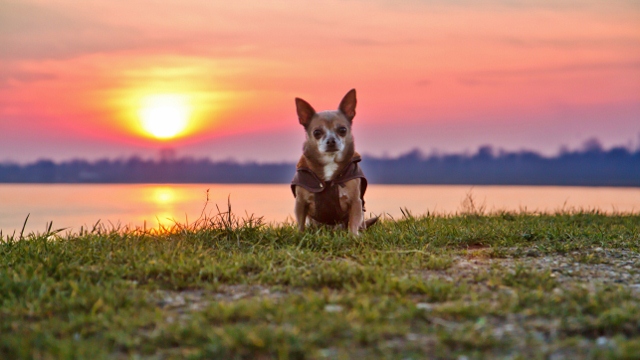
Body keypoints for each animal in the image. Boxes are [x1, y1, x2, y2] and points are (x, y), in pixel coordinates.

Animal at [288, 89, 376, 236]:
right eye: (317, 132)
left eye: (342, 130)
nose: (331, 141)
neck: (330, 163)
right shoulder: (300, 203)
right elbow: (300, 223)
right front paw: (299, 236)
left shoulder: (356, 202)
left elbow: (353, 223)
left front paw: (353, 236)